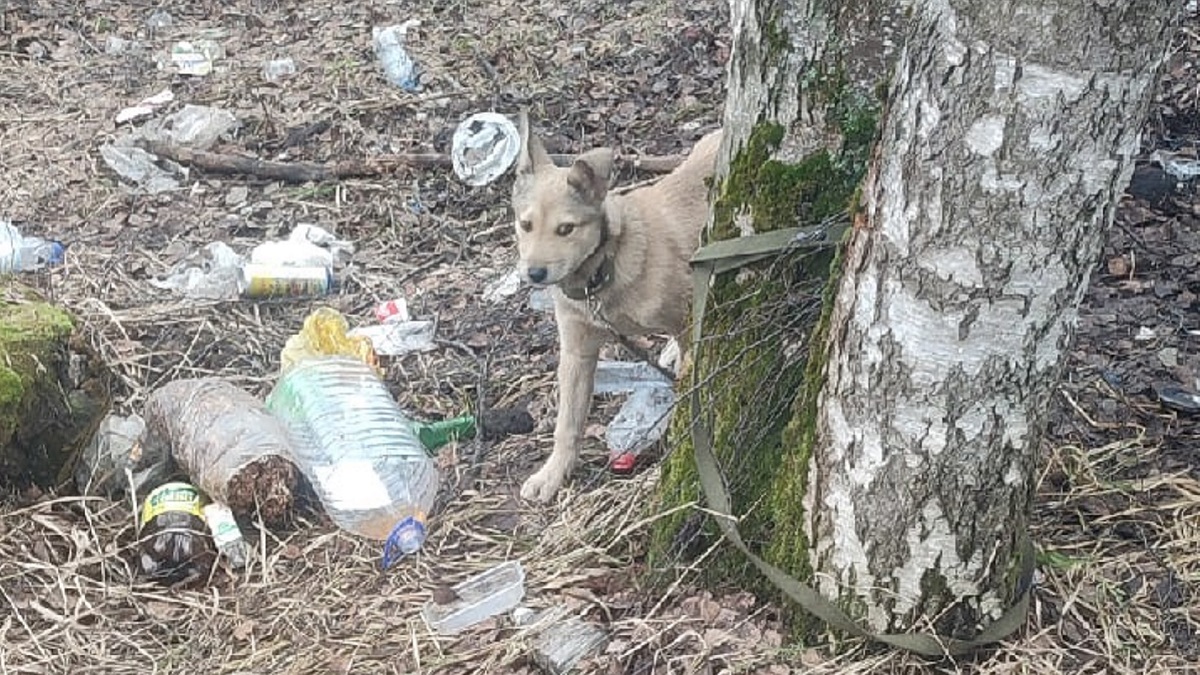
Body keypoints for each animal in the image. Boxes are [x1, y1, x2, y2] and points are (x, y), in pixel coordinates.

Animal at [508, 111, 720, 499]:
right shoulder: (576, 351)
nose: (534, 273)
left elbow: (688, 387)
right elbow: (567, 424)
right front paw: (552, 475)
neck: (603, 272)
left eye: (566, 229)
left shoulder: (687, 324)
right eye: (525, 224)